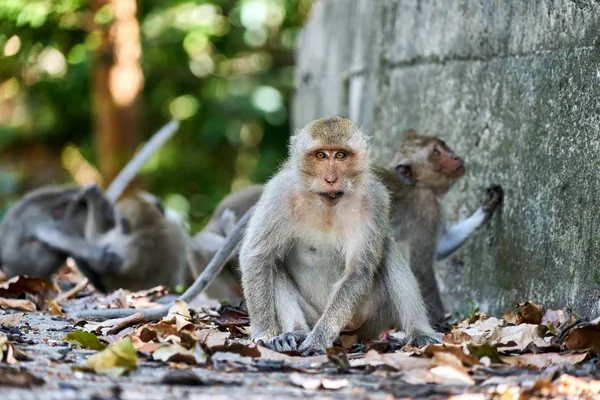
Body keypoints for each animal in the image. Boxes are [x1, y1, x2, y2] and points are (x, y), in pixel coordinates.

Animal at [238, 115, 436, 354]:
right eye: (321, 155)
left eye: (341, 155)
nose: (331, 179)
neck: (328, 202)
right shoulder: (279, 194)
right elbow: (257, 257)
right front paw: (264, 333)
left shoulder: (375, 199)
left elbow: (358, 271)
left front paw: (319, 339)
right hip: (313, 314)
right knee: (272, 264)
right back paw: (296, 332)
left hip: (370, 317)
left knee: (387, 249)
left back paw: (420, 332)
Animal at [380, 131, 502, 324]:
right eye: (435, 153)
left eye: (442, 144)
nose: (455, 157)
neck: (417, 184)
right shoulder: (427, 208)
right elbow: (422, 268)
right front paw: (443, 322)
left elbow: (441, 247)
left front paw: (486, 208)